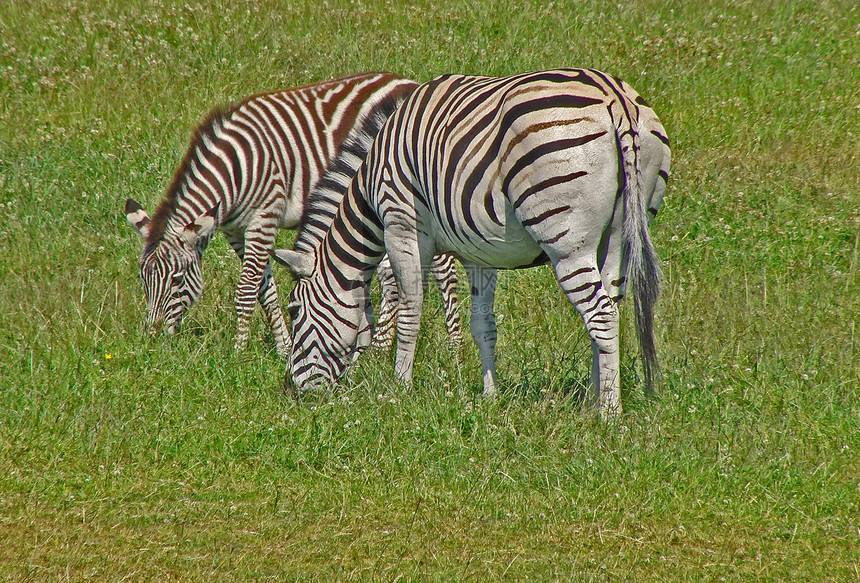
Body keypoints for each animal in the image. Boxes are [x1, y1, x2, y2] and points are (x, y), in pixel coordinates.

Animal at [124, 70, 460, 358]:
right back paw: (380, 348)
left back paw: (452, 347)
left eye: (178, 279)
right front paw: (284, 348)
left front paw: (238, 351)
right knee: (392, 274)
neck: (236, 170)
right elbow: (265, 290)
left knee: (443, 268)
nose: (153, 340)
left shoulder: (264, 217)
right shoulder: (236, 230)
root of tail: (411, 83)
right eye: (142, 279)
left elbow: (246, 289)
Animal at [274, 68, 672, 418]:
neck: (371, 191)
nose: (292, 390)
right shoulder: (479, 254)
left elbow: (409, 313)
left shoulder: (402, 226)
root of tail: (615, 97)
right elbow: (483, 326)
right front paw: (489, 395)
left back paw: (608, 414)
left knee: (601, 315)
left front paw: (399, 389)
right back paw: (593, 399)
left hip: (567, 241)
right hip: (620, 234)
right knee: (610, 308)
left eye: (294, 310)